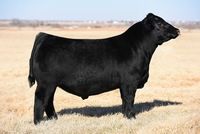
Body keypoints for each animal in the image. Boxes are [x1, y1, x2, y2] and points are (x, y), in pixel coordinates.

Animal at [28, 13, 180, 124]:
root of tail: (45, 36)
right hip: (46, 83)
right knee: (40, 100)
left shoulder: (124, 84)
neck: (139, 48)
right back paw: (39, 122)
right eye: (160, 23)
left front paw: (125, 116)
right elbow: (129, 99)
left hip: (51, 84)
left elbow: (124, 101)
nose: (177, 30)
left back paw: (53, 119)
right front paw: (132, 117)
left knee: (49, 101)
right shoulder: (130, 81)